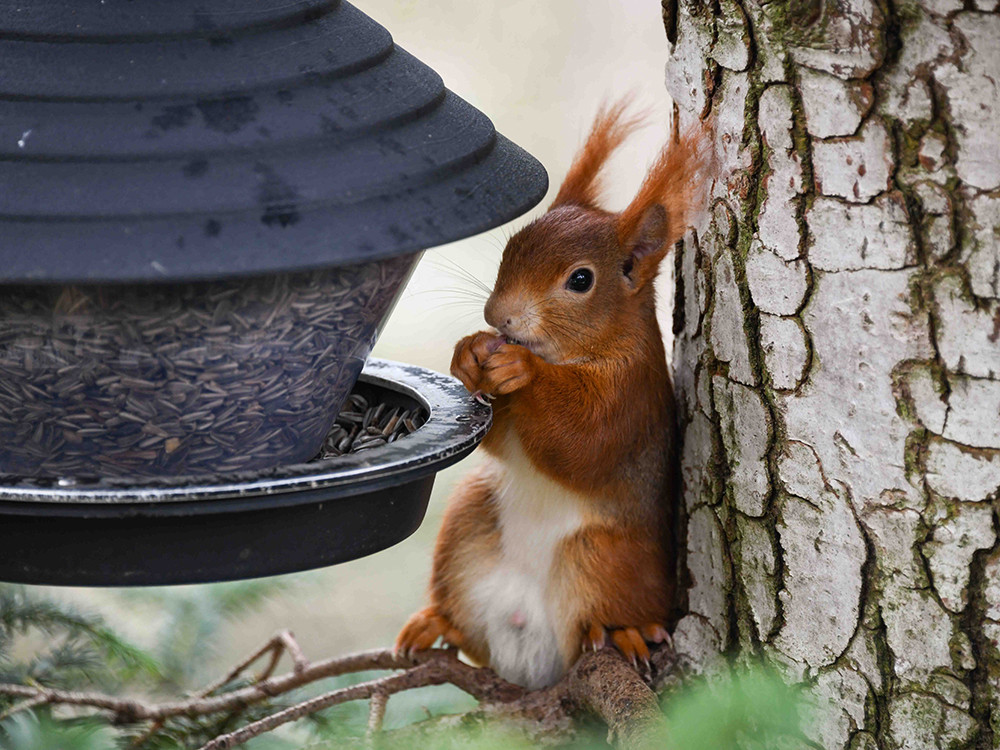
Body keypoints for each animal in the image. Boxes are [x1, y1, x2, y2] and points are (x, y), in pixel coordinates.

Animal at [394, 101, 708, 692]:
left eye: (580, 280)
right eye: (512, 246)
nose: (498, 317)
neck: (574, 354)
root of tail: (531, 659)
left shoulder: (632, 394)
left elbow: (583, 444)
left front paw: (523, 370)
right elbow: (501, 439)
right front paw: (470, 353)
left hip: (606, 555)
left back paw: (626, 631)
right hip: (470, 522)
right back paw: (436, 622)